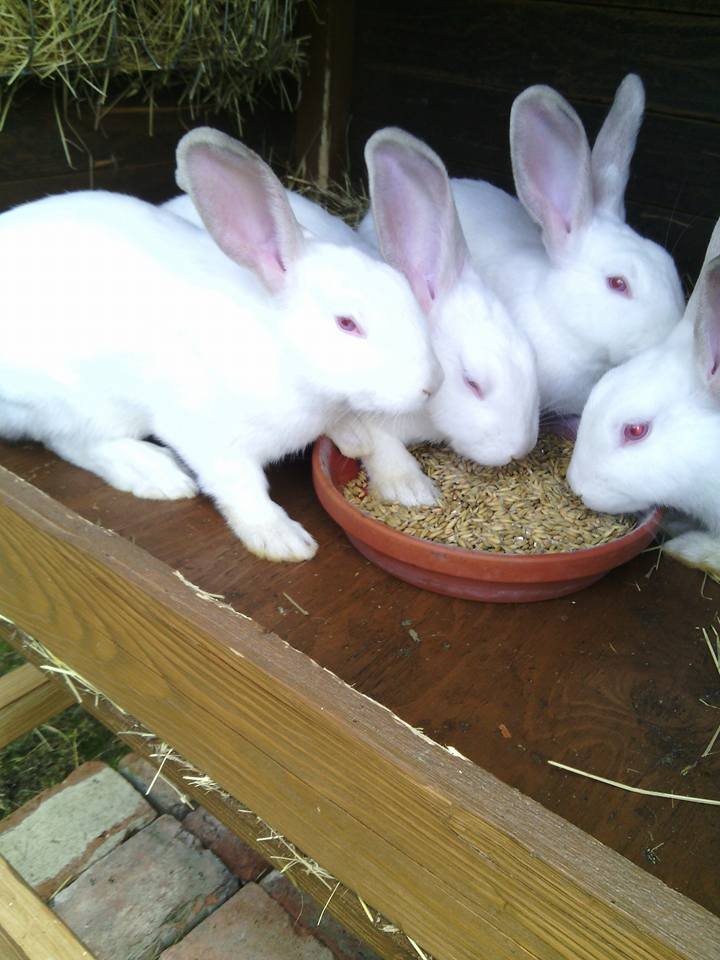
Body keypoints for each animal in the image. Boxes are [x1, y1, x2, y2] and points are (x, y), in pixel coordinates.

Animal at [0, 127, 441, 562]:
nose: (432, 385)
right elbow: (241, 485)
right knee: (72, 441)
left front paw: (399, 476)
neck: (281, 351)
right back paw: (160, 474)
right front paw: (282, 540)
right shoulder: (209, 436)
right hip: (77, 402)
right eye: (346, 323)